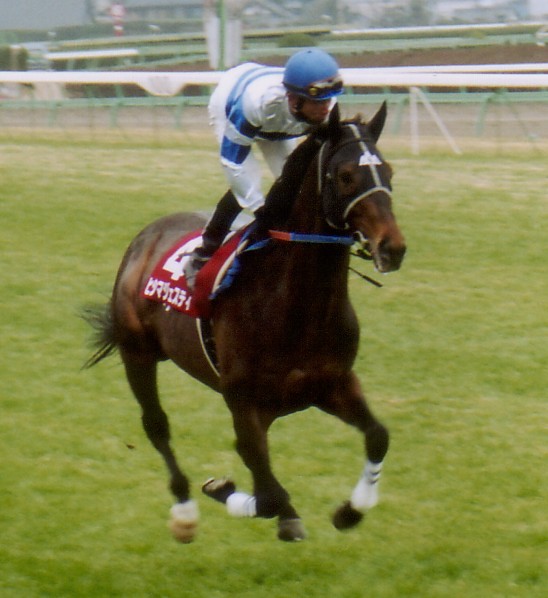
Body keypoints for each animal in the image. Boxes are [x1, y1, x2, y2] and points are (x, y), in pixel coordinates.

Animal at [84, 102, 406, 542]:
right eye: (345, 175)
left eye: (388, 171)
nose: (393, 247)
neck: (295, 305)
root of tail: (145, 237)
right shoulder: (243, 400)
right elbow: (267, 494)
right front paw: (224, 491)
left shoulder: (332, 384)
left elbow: (378, 436)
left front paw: (350, 511)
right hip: (137, 352)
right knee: (157, 425)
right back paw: (184, 511)